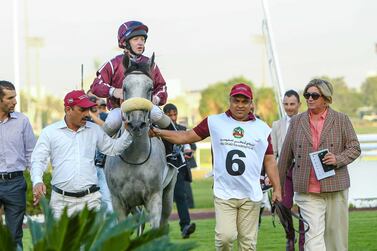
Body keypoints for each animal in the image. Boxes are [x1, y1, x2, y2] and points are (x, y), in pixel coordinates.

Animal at [104, 54, 176, 228]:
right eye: (124, 88)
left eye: (150, 88)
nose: (136, 124)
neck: (135, 158)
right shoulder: (118, 202)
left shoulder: (154, 198)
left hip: (169, 192)